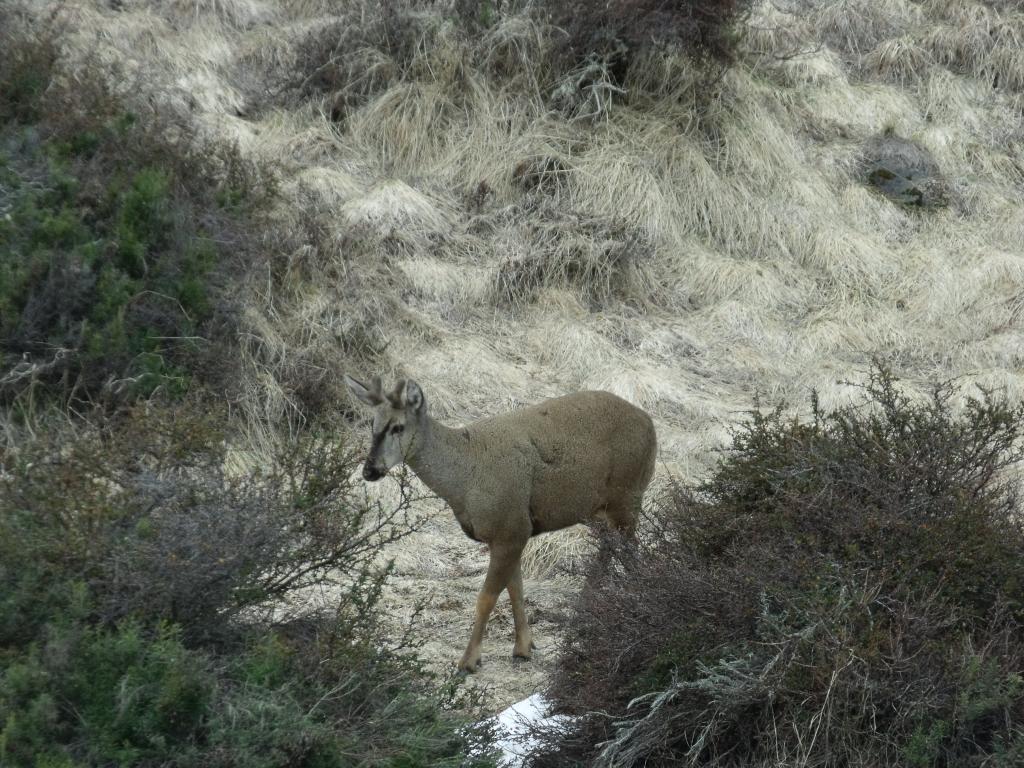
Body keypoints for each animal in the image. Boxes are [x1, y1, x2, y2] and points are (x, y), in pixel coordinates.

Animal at [344, 376, 659, 671]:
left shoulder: (510, 527)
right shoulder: (514, 531)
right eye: (373, 424)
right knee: (610, 549)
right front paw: (524, 647)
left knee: (632, 551)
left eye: (398, 427)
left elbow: (487, 597)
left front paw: (468, 661)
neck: (465, 479)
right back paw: (586, 607)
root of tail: (650, 423)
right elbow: (515, 590)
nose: (369, 470)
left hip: (628, 495)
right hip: (597, 510)